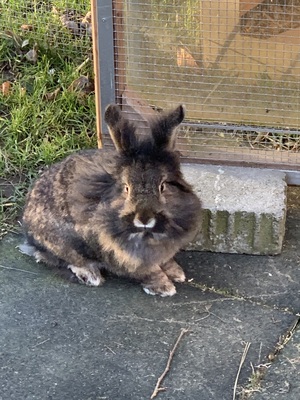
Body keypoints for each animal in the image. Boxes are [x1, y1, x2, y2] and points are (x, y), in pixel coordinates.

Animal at [21, 104, 202, 296]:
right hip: (64, 245)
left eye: (162, 186)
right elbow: (148, 270)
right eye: (126, 188)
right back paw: (90, 275)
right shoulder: (124, 255)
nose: (144, 219)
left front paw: (177, 273)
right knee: (55, 258)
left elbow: (165, 261)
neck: (148, 234)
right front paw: (164, 288)